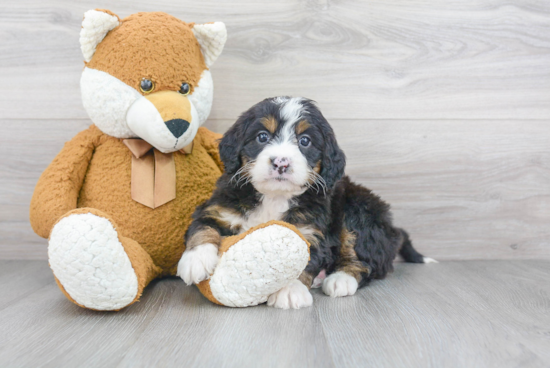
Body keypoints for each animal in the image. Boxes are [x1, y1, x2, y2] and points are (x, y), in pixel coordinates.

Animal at [179, 96, 438, 310]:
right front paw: (195, 260)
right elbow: (203, 227)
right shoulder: (219, 208)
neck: (274, 197)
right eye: (262, 137)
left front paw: (290, 291)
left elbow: (304, 259)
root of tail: (393, 229)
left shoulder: (310, 231)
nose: (281, 162)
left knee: (366, 261)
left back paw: (340, 279)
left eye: (305, 141)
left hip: (358, 210)